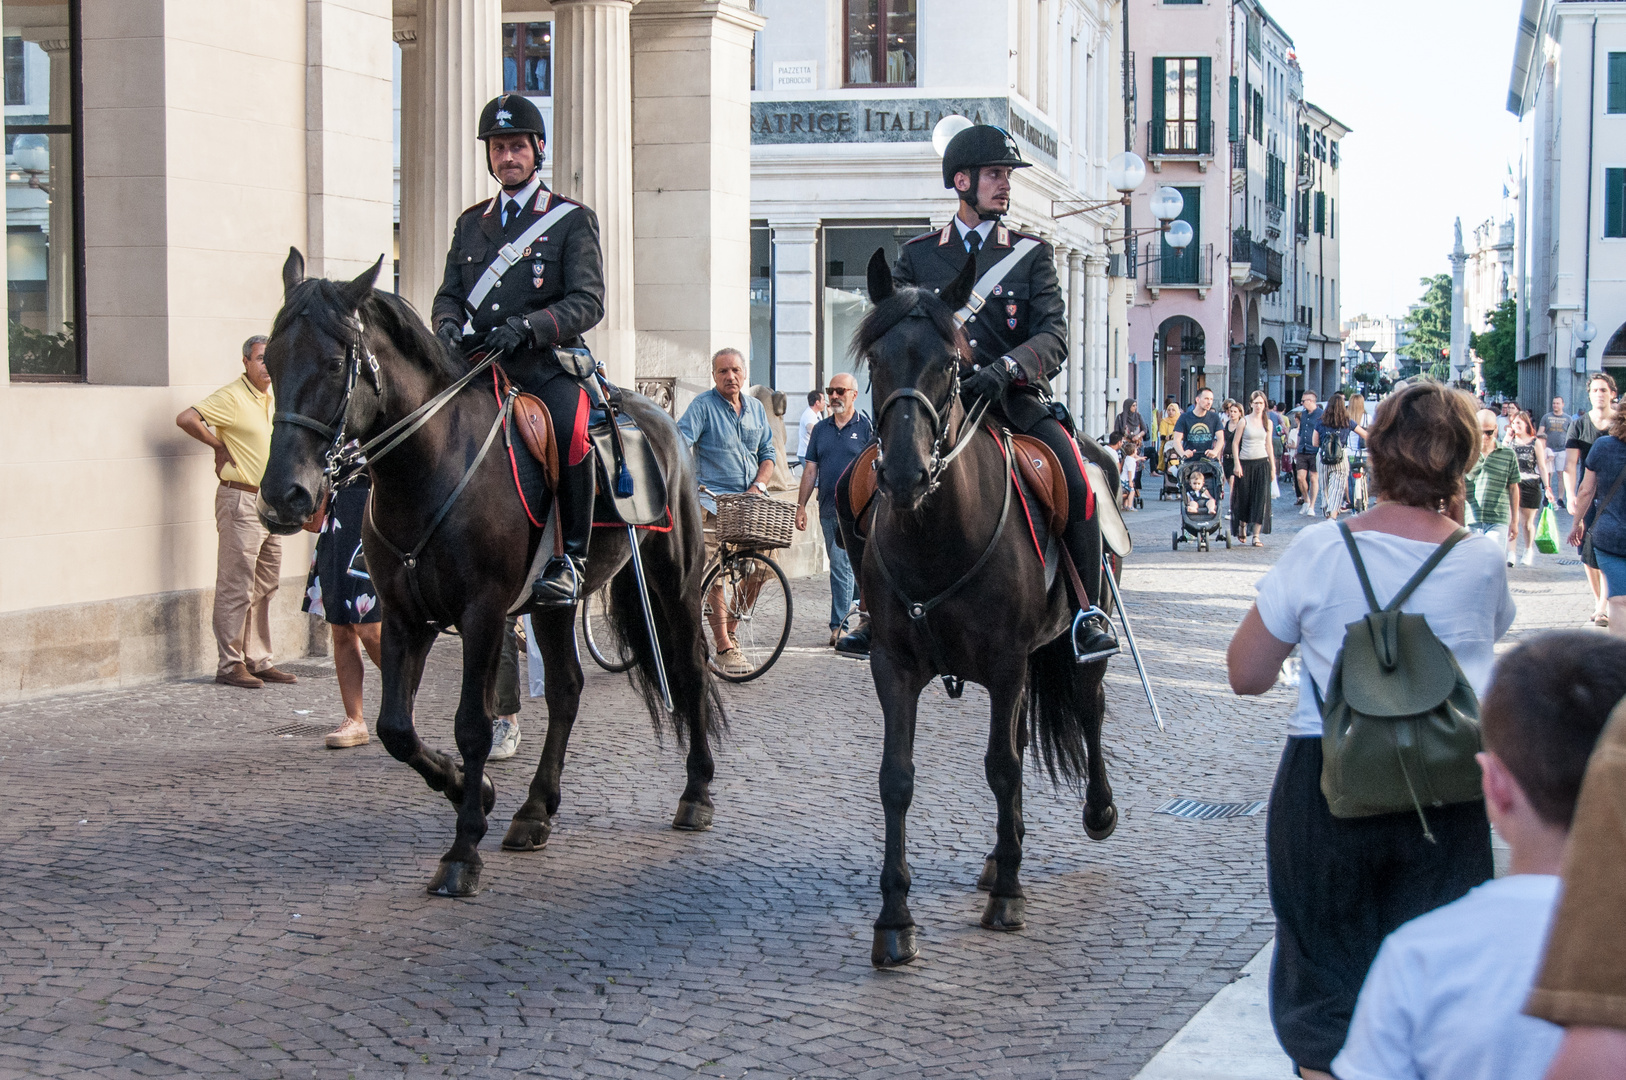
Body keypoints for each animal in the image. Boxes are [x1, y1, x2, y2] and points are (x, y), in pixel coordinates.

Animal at [256, 250, 721, 891]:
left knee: (691, 669)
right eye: (271, 361)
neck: (428, 464)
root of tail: (661, 414)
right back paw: (535, 811)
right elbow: (396, 727)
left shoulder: (481, 613)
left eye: (332, 363)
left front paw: (462, 850)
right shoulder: (405, 614)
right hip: (554, 604)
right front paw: (475, 791)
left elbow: (471, 725)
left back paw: (696, 792)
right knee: (567, 689)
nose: (284, 497)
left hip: (673, 581)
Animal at [852, 248, 1118, 962]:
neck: (938, 538)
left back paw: (1095, 814)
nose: (904, 475)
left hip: (1075, 641)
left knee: (1087, 710)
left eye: (951, 362)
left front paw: (1009, 899)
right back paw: (1005, 854)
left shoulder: (1004, 664)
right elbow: (896, 778)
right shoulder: (893, 666)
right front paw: (895, 919)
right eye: (875, 358)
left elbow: (1001, 767)